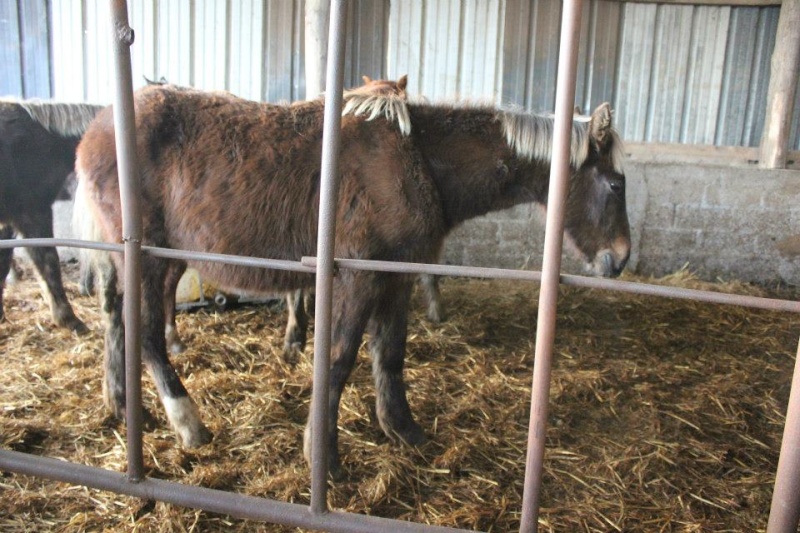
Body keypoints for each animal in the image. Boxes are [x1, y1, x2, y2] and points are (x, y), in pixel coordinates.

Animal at [75, 85, 632, 476]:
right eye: (615, 182)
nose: (620, 259)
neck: (417, 159)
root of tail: (94, 132)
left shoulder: (395, 278)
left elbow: (390, 354)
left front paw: (403, 430)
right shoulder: (359, 278)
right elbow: (340, 359)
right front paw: (323, 456)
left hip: (151, 261)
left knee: (117, 323)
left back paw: (124, 408)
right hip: (150, 259)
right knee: (147, 335)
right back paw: (188, 424)